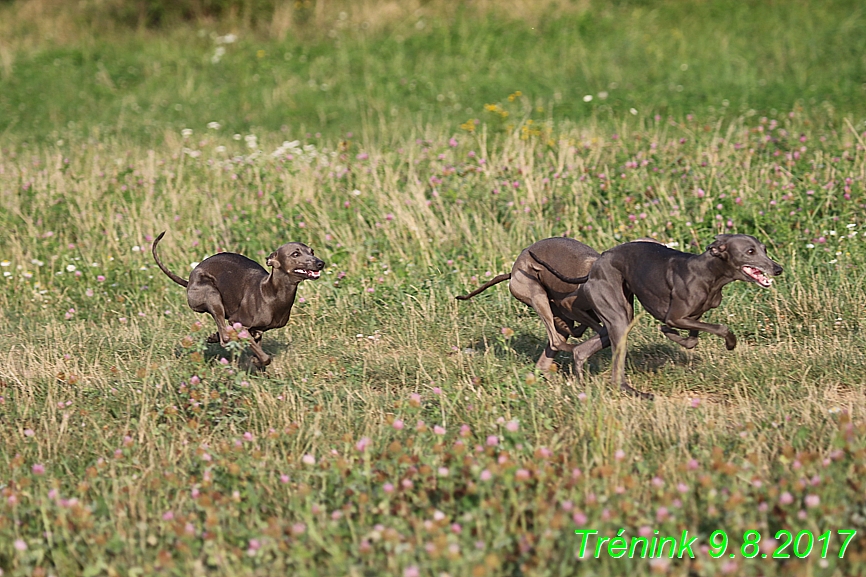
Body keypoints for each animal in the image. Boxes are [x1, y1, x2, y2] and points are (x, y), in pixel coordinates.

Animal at [152, 230, 324, 364]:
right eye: (295, 254)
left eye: (312, 251)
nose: (321, 263)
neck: (271, 293)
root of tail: (189, 281)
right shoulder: (237, 321)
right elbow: (264, 357)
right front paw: (257, 360)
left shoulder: (258, 330)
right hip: (211, 294)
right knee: (225, 337)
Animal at [528, 233, 780, 396]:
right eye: (750, 251)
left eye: (764, 249)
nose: (778, 269)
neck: (708, 272)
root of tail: (598, 262)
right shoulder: (677, 316)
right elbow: (720, 327)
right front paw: (730, 342)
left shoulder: (692, 317)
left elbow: (691, 339)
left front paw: (671, 334)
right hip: (617, 317)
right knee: (615, 369)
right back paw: (631, 391)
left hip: (620, 315)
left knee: (581, 350)